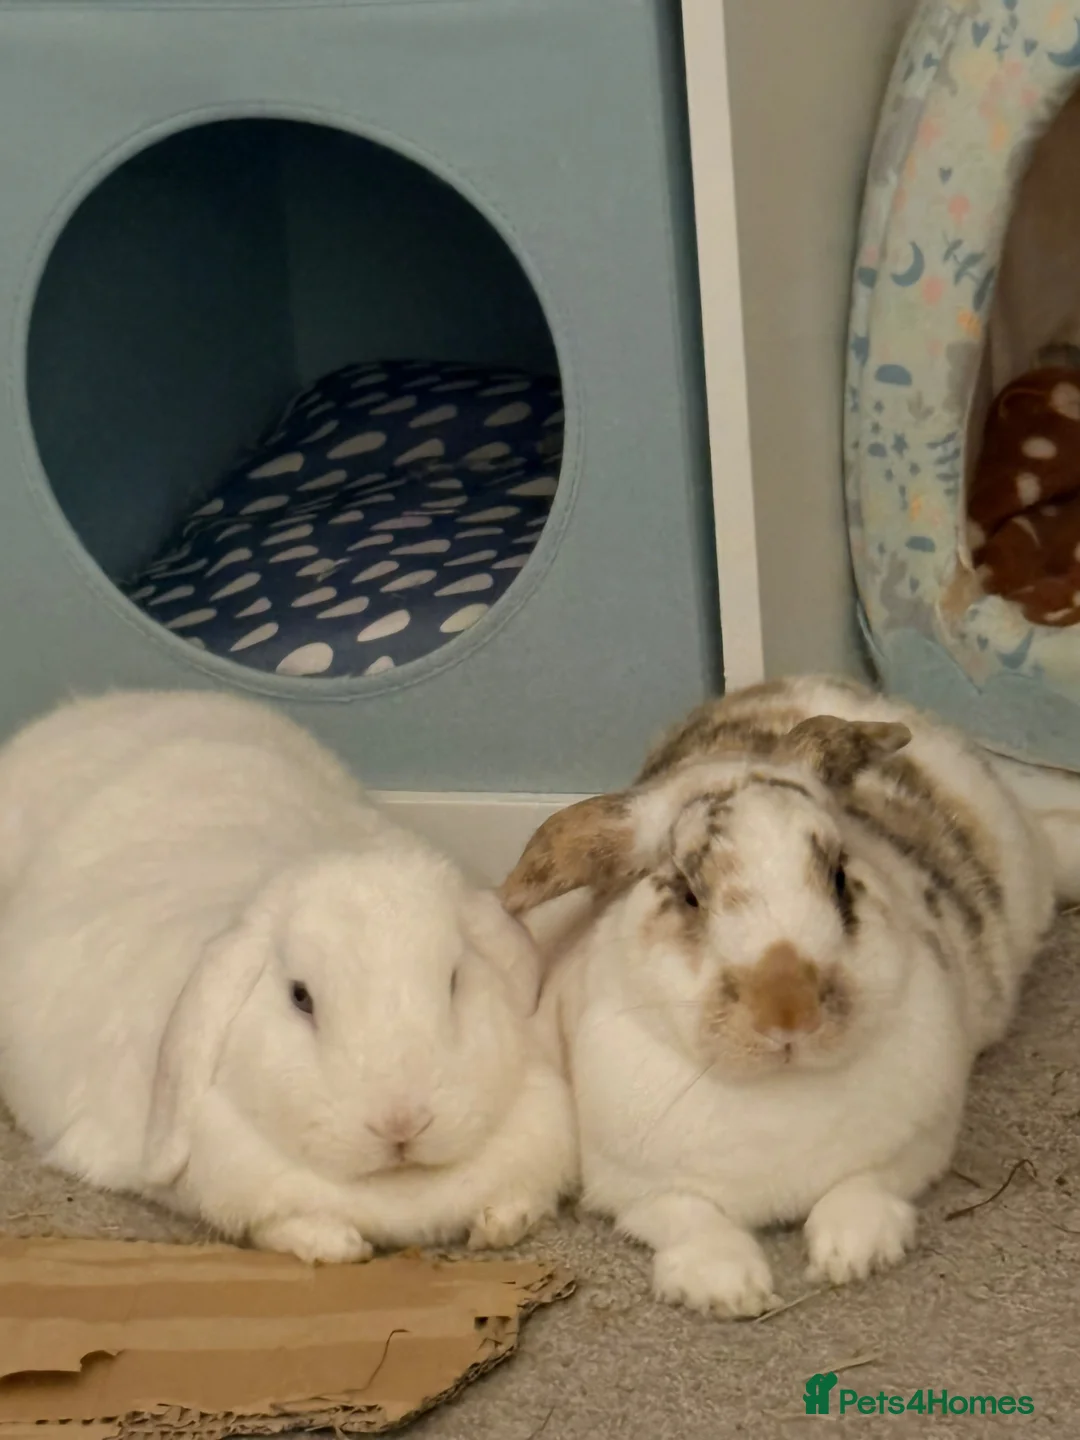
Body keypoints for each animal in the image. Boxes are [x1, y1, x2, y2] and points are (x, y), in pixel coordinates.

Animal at [0, 689, 576, 1263]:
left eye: (455, 981)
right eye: (300, 998)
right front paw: (338, 1247)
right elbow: (280, 1224)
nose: (401, 1123)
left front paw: (500, 1224)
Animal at [499, 676, 1054, 1318]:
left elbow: (862, 1186)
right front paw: (728, 1289)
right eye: (688, 894)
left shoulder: (916, 1147)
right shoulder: (634, 1186)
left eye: (840, 876)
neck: (775, 1091)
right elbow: (688, 1218)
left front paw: (852, 1254)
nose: (791, 1014)